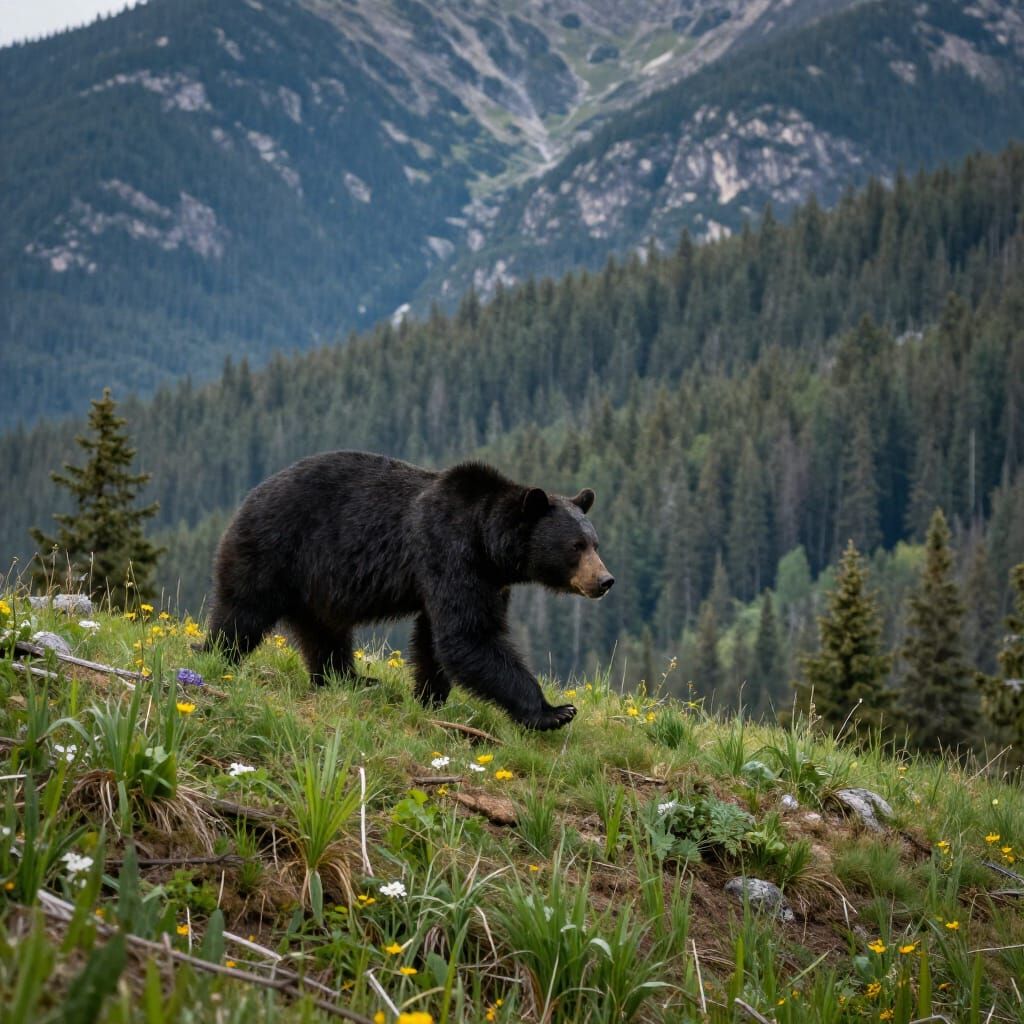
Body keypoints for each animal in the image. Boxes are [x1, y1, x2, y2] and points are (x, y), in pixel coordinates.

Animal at [203, 450, 614, 730]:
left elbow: (436, 639)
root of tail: (249, 497)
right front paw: (555, 711)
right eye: (576, 546)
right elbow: (469, 636)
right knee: (243, 611)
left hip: (313, 587)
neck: (488, 545)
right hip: (275, 551)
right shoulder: (449, 554)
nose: (605, 580)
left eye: (595, 543)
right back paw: (217, 655)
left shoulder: (486, 580)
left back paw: (353, 679)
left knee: (325, 633)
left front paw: (429, 697)